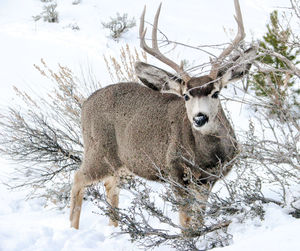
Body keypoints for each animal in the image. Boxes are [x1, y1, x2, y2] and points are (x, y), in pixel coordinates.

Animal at [70, 0, 255, 229]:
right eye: (186, 95)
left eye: (216, 93)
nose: (199, 117)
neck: (206, 156)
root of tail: (85, 103)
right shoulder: (175, 171)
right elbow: (186, 222)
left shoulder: (207, 180)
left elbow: (199, 219)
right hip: (98, 150)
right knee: (78, 178)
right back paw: (73, 229)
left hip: (120, 162)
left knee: (110, 186)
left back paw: (114, 228)